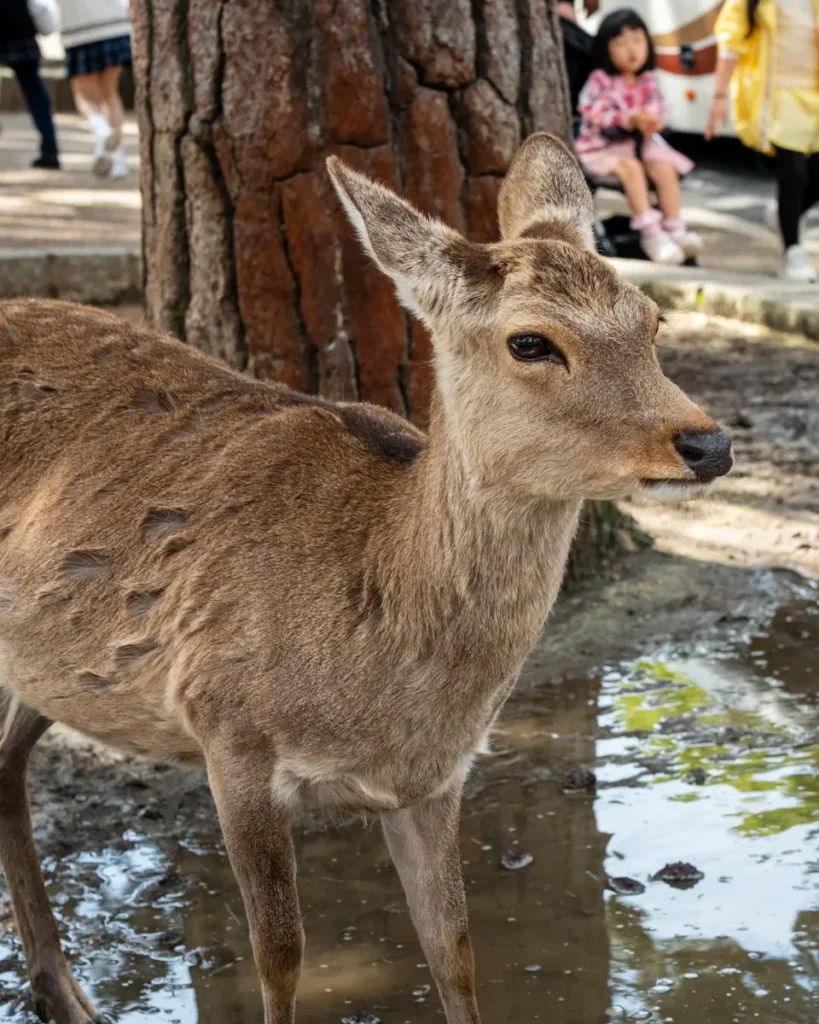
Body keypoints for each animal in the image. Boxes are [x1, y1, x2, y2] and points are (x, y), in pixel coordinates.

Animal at [0, 133, 732, 1024]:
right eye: (530, 341)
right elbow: (280, 956)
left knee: (3, 766)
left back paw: (63, 990)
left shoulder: (435, 780)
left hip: (47, 664)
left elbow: (453, 949)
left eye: (652, 320)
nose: (706, 444)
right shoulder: (226, 728)